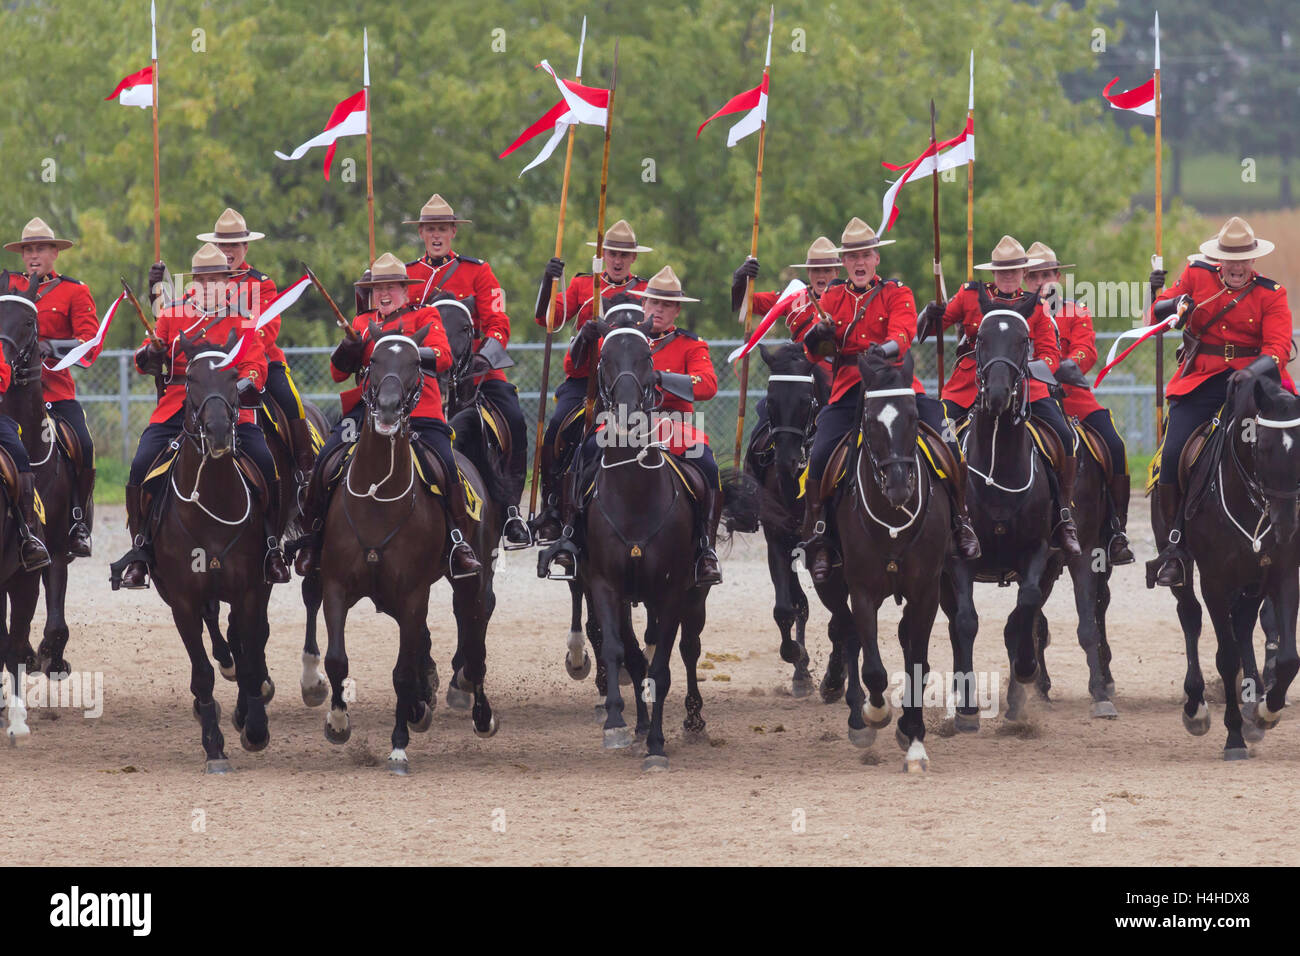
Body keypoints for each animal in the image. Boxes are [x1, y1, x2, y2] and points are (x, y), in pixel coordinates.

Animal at [941, 310, 1060, 728]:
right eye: (980, 339)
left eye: (1024, 341)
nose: (995, 394)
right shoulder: (958, 557)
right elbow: (965, 621)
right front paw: (966, 706)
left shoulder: (1039, 552)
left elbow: (1024, 610)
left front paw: (1025, 672)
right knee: (954, 623)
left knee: (1027, 616)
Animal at [1159, 374, 1300, 764]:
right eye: (1263, 447)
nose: (1287, 526)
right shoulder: (1215, 583)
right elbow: (1225, 656)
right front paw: (1234, 736)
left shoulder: (1283, 574)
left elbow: (1288, 658)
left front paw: (1267, 711)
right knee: (1190, 615)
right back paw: (1196, 707)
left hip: (1252, 582)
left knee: (1244, 623)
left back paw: (1253, 702)